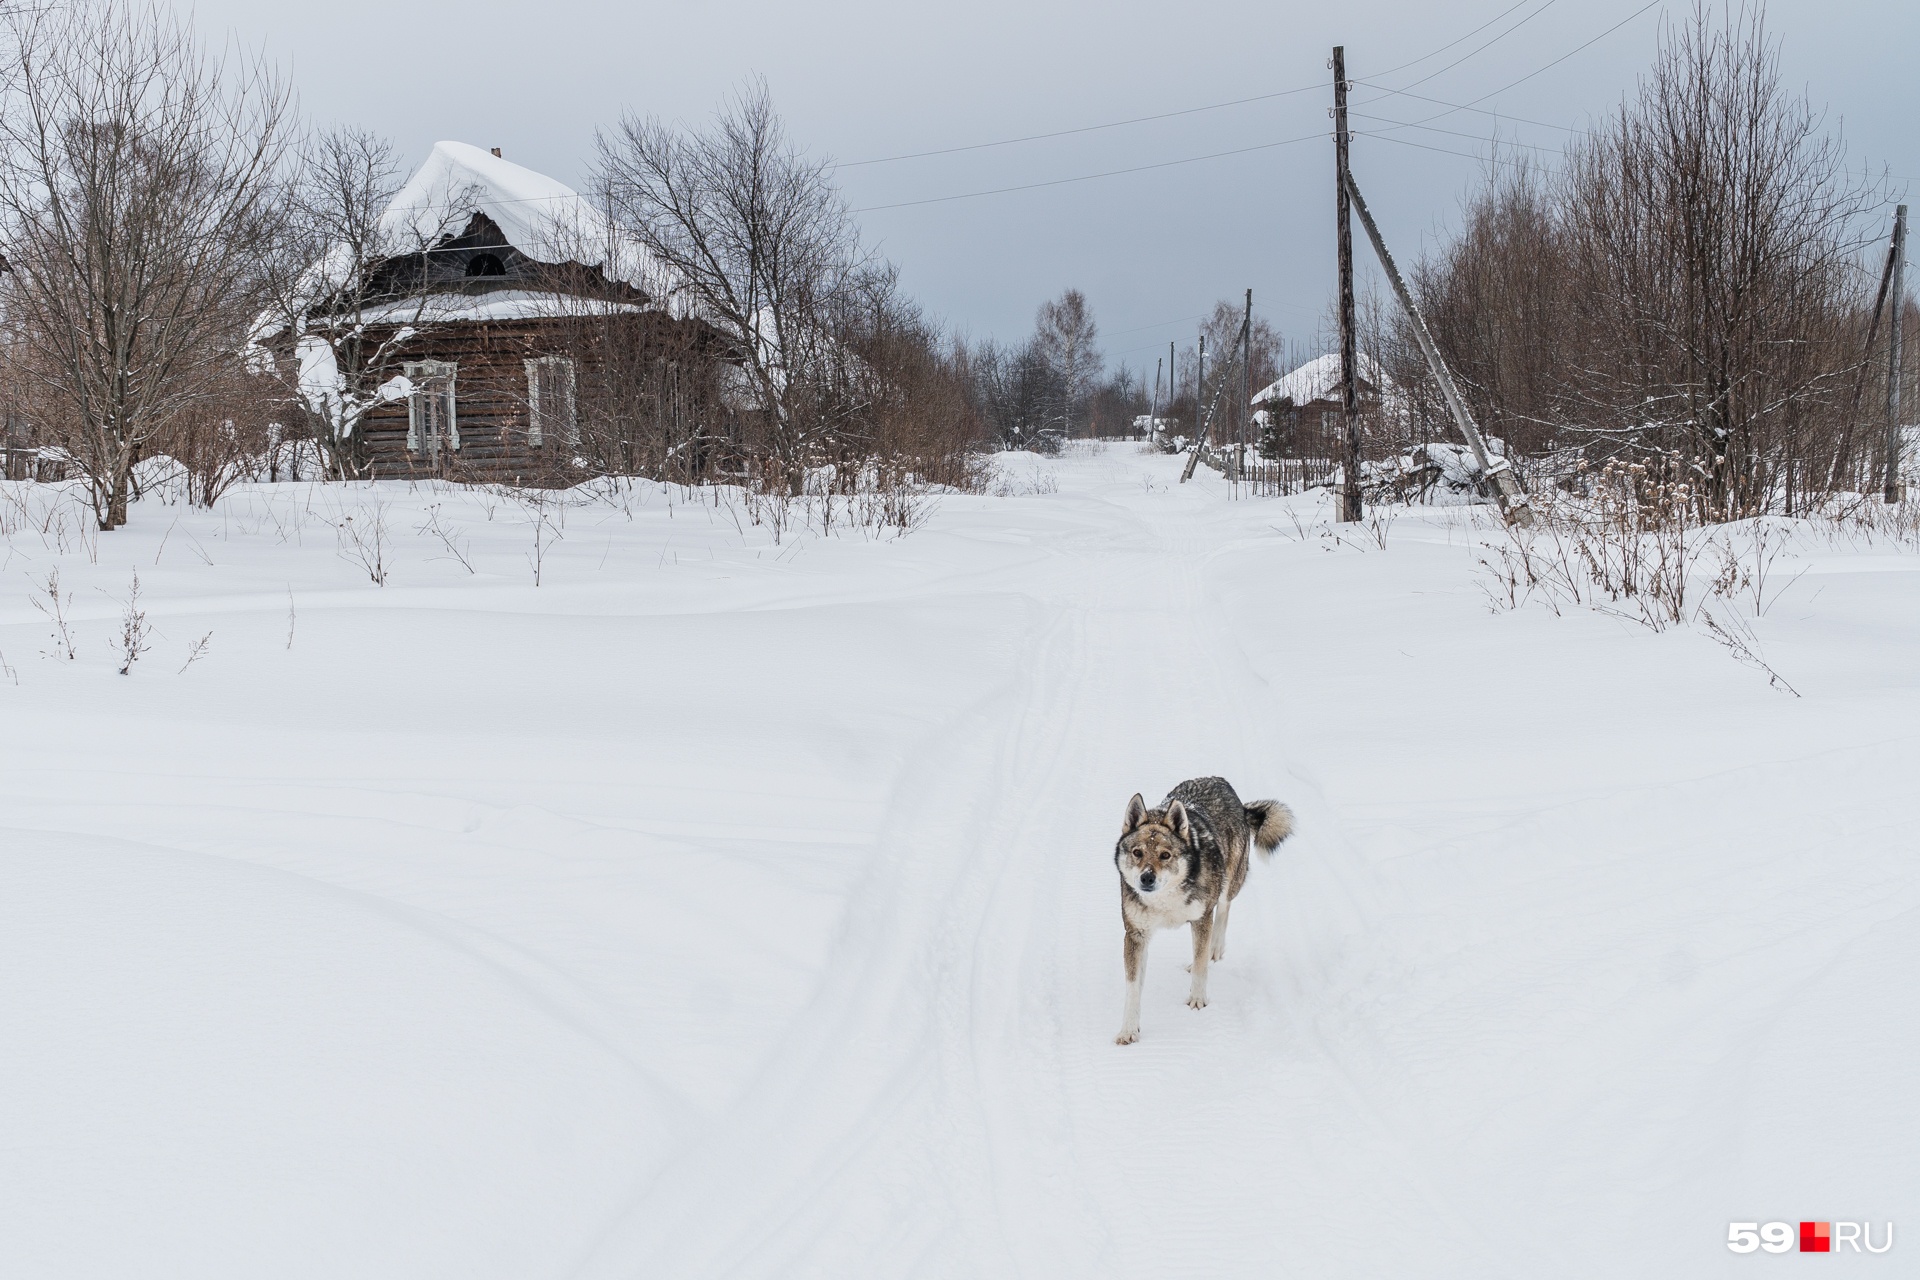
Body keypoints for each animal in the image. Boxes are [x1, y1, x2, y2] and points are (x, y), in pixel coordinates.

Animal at [1113, 775, 1290, 1043]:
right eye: (1137, 853)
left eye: (1165, 855)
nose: (1147, 878)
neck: (1166, 900)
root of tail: (1220, 782)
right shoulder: (1136, 935)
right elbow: (1133, 988)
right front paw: (1129, 1030)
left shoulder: (1200, 918)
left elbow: (1199, 966)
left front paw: (1197, 1000)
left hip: (1228, 884)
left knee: (1223, 911)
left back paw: (1213, 950)